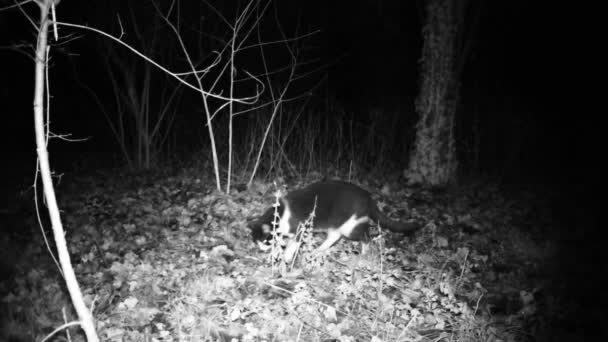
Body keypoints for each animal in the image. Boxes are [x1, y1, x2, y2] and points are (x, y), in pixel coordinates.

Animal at [248, 179, 418, 262]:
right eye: (256, 243)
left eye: (265, 241)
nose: (260, 250)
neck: (280, 214)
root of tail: (368, 197)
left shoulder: (299, 229)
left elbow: (291, 246)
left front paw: (286, 257)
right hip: (335, 224)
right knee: (334, 236)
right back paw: (318, 250)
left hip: (350, 226)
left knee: (366, 237)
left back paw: (363, 255)